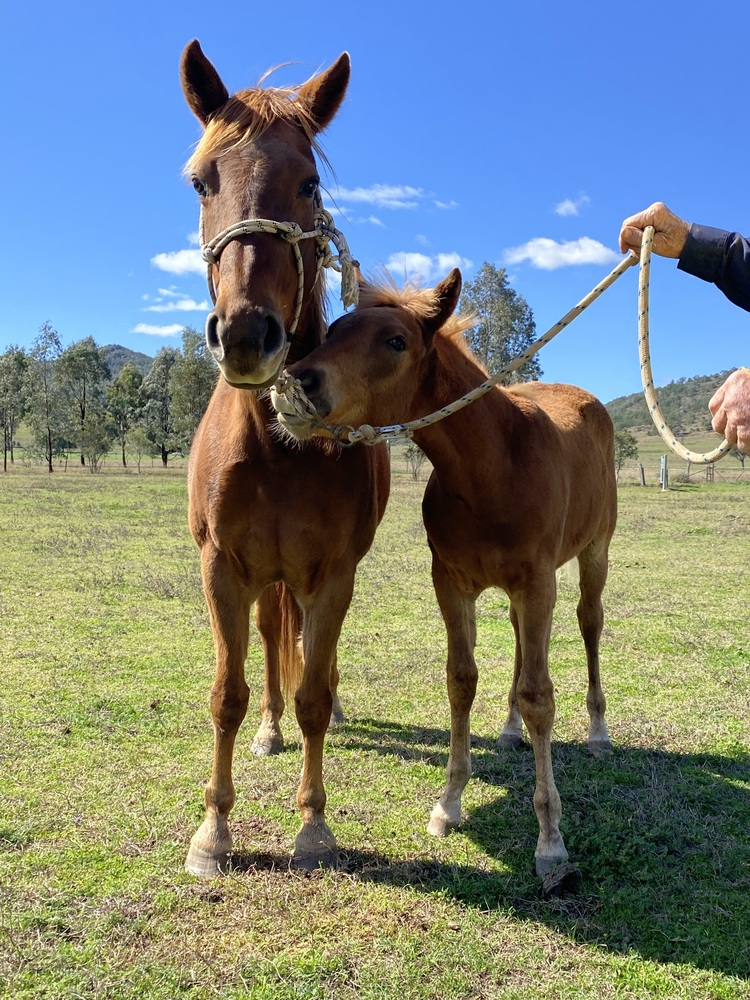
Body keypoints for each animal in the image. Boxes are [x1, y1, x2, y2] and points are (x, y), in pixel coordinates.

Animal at [179, 41, 390, 875]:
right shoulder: (221, 570)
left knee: (304, 658)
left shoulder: (331, 574)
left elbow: (314, 696)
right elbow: (228, 695)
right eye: (202, 180)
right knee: (273, 644)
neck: (274, 448)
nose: (246, 335)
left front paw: (313, 825)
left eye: (309, 183)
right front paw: (214, 830)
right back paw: (268, 731)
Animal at [273, 269, 616, 876]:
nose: (295, 384)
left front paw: (550, 840)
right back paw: (507, 730)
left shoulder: (539, 581)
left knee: (589, 622)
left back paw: (598, 731)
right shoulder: (452, 583)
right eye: (334, 329)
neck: (492, 469)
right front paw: (449, 802)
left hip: (593, 551)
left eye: (395, 341)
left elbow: (540, 696)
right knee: (520, 640)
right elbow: (462, 681)